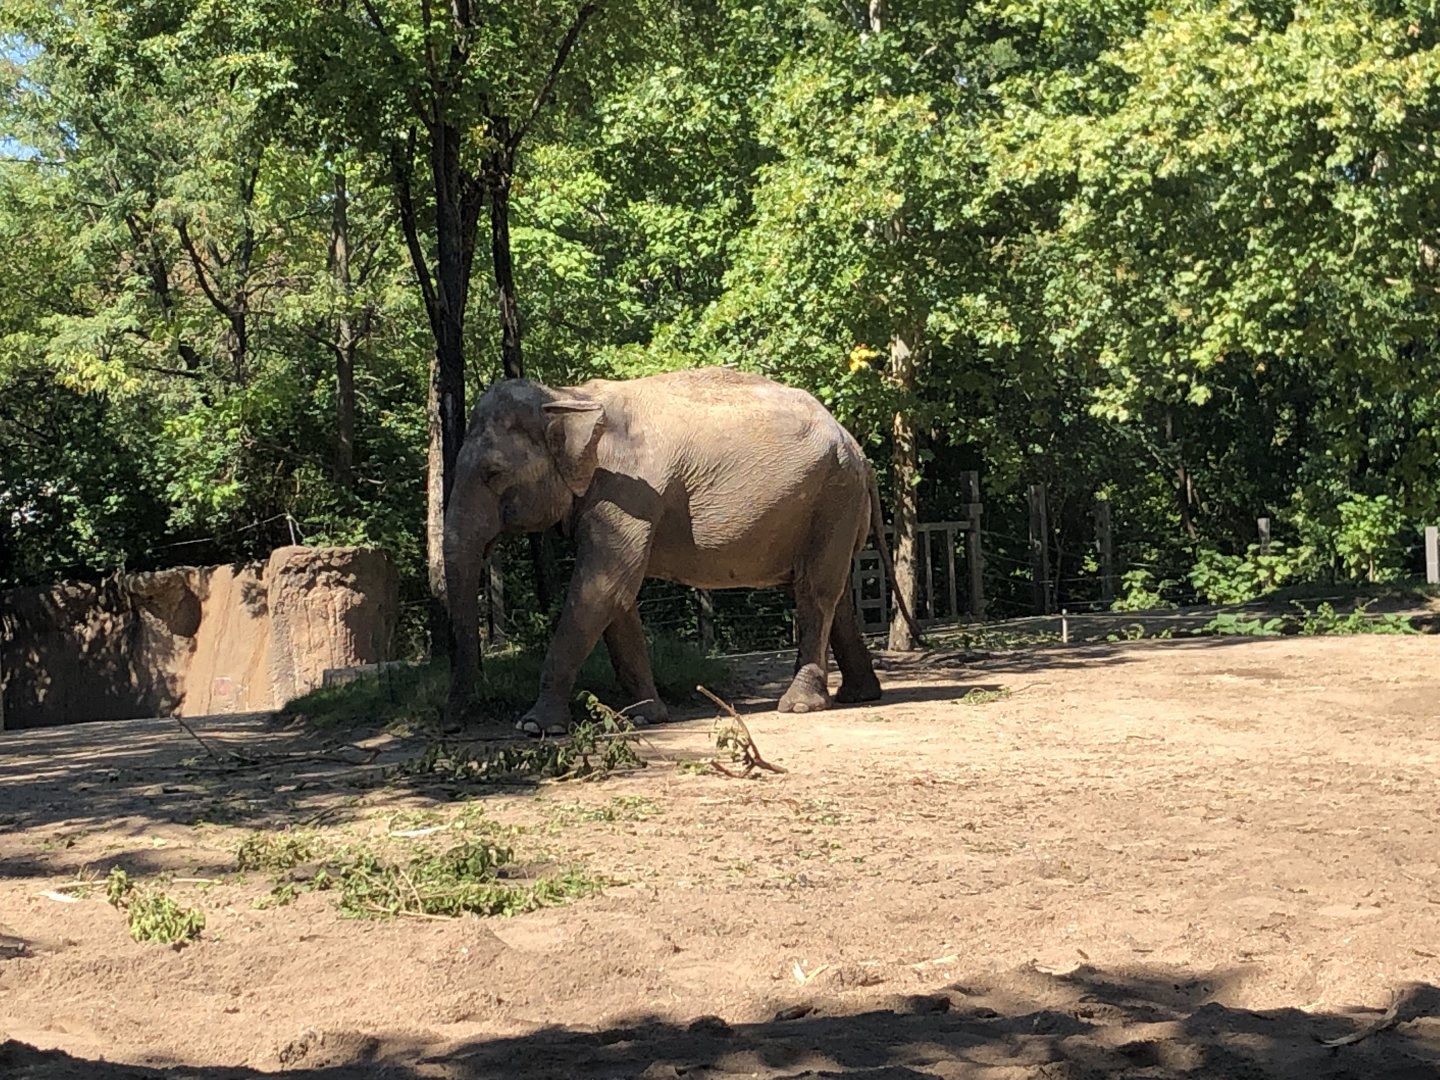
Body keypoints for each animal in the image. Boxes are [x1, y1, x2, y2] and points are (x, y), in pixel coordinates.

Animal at [442, 366, 921, 735]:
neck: (566, 396)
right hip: (833, 504)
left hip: (833, 497)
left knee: (814, 592)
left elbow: (600, 591)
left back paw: (799, 705)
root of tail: (857, 448)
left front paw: (534, 727)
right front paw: (644, 718)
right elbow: (616, 597)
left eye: (492, 473)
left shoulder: (627, 492)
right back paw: (859, 695)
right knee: (834, 595)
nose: (452, 726)